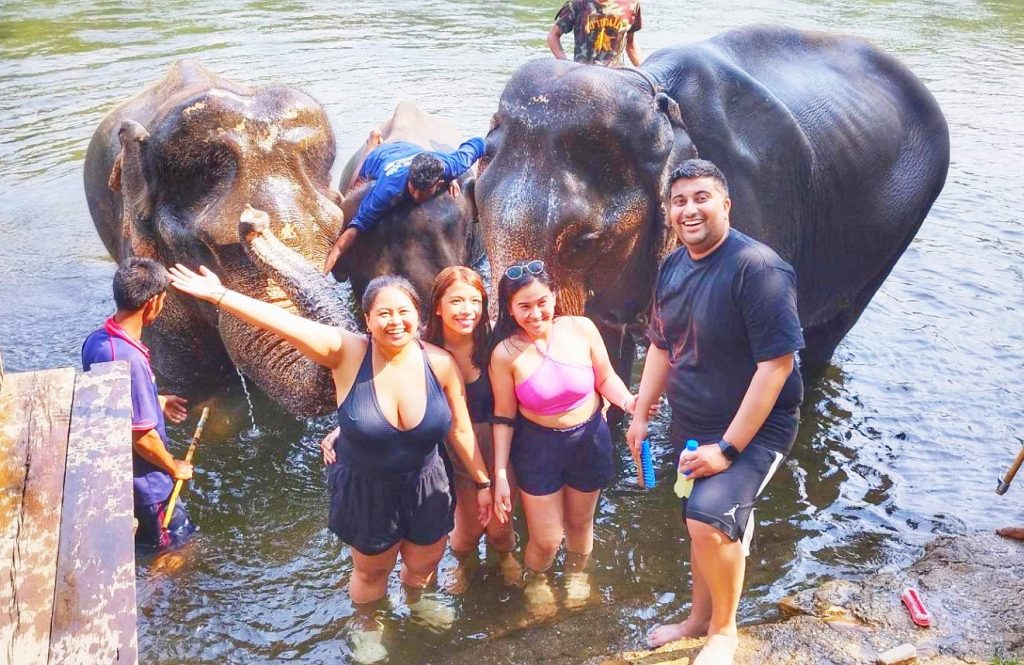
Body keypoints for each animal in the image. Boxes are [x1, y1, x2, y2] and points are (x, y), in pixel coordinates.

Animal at [475, 25, 946, 372]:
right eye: (479, 212)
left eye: (584, 242)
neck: (654, 92)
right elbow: (608, 347)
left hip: (905, 219)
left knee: (827, 336)